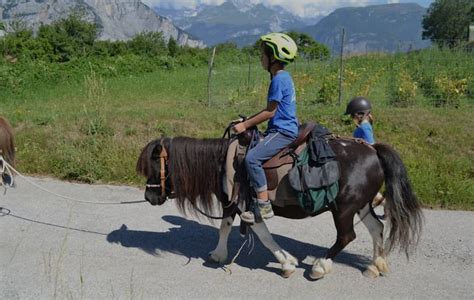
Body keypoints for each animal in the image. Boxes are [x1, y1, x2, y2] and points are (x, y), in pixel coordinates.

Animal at [136, 136, 422, 278]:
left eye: (154, 165)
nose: (149, 197)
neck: (224, 161)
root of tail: (373, 150)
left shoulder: (247, 204)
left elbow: (263, 235)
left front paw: (286, 263)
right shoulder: (232, 201)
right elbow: (225, 227)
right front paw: (218, 254)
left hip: (343, 208)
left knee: (346, 236)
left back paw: (320, 266)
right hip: (360, 204)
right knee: (377, 228)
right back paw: (376, 264)